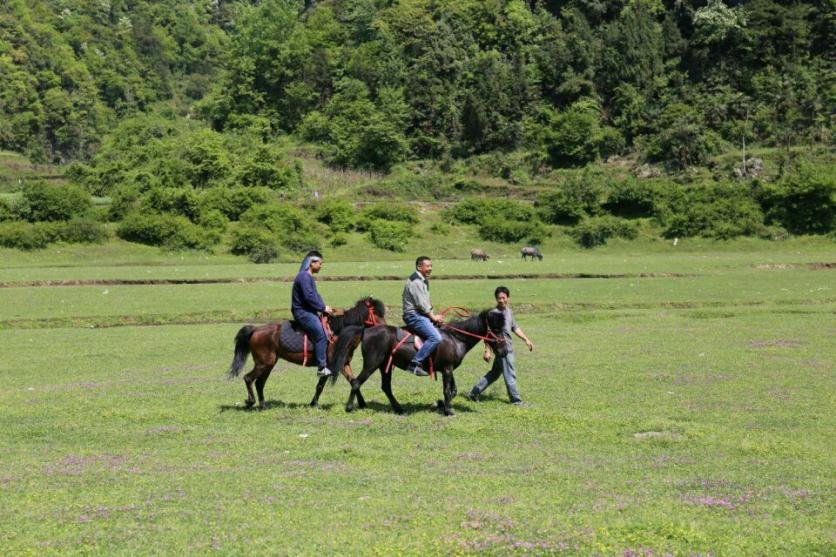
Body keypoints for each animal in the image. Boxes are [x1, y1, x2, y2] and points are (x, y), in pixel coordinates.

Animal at [227, 298, 386, 410]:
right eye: (376, 314)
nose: (386, 327)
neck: (339, 333)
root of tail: (255, 329)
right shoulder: (329, 366)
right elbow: (320, 386)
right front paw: (313, 404)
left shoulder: (344, 364)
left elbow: (354, 381)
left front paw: (362, 403)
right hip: (263, 363)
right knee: (248, 378)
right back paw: (251, 402)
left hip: (269, 364)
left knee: (259, 383)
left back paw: (263, 405)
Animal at [330, 310, 506, 414]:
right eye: (496, 329)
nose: (505, 350)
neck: (455, 339)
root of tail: (366, 330)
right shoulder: (447, 369)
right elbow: (447, 390)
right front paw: (448, 410)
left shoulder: (447, 369)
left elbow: (453, 390)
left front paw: (442, 405)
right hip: (372, 364)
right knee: (356, 382)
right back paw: (349, 407)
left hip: (385, 366)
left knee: (386, 387)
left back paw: (399, 409)